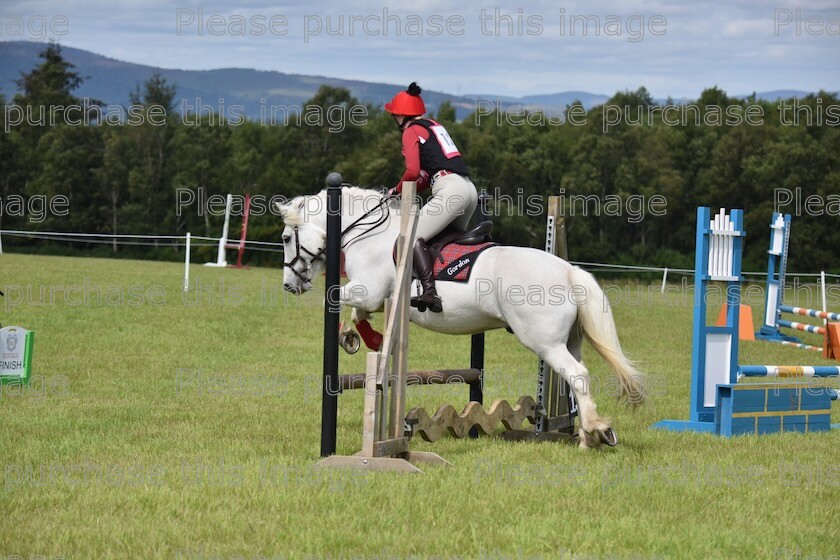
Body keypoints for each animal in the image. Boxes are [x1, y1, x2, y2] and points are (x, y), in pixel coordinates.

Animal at [278, 186, 648, 448]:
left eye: (284, 238)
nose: (289, 285)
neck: (368, 233)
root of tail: (569, 271)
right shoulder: (376, 297)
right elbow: (357, 311)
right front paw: (358, 338)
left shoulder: (368, 289)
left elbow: (336, 298)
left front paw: (366, 338)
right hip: (569, 341)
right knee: (577, 378)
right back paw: (588, 432)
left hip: (544, 342)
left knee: (577, 375)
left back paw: (593, 432)